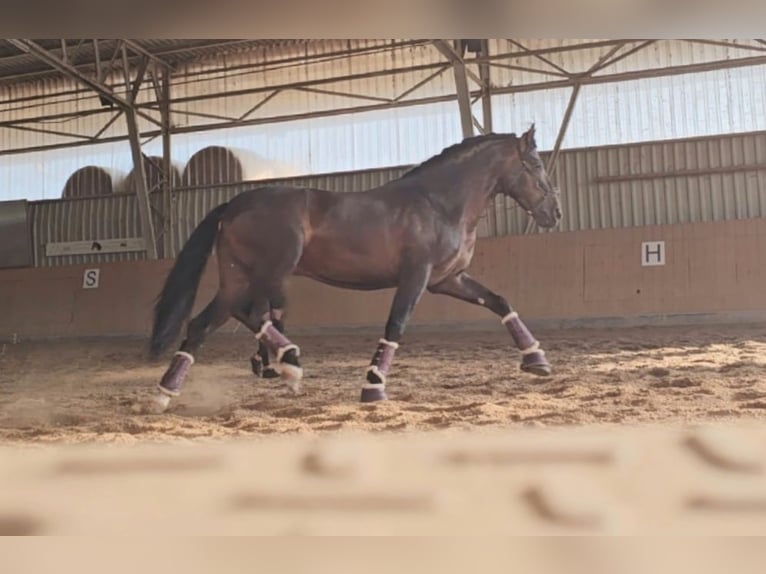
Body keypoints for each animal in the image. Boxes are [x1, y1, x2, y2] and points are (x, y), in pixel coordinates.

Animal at [147, 126, 564, 414]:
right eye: (536, 165)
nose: (554, 214)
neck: (439, 203)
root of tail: (234, 203)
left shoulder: (448, 279)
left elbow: (499, 301)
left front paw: (536, 360)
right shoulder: (416, 277)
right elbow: (396, 326)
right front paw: (373, 386)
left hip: (238, 277)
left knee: (206, 323)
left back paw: (167, 393)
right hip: (271, 269)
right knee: (248, 312)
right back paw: (288, 364)